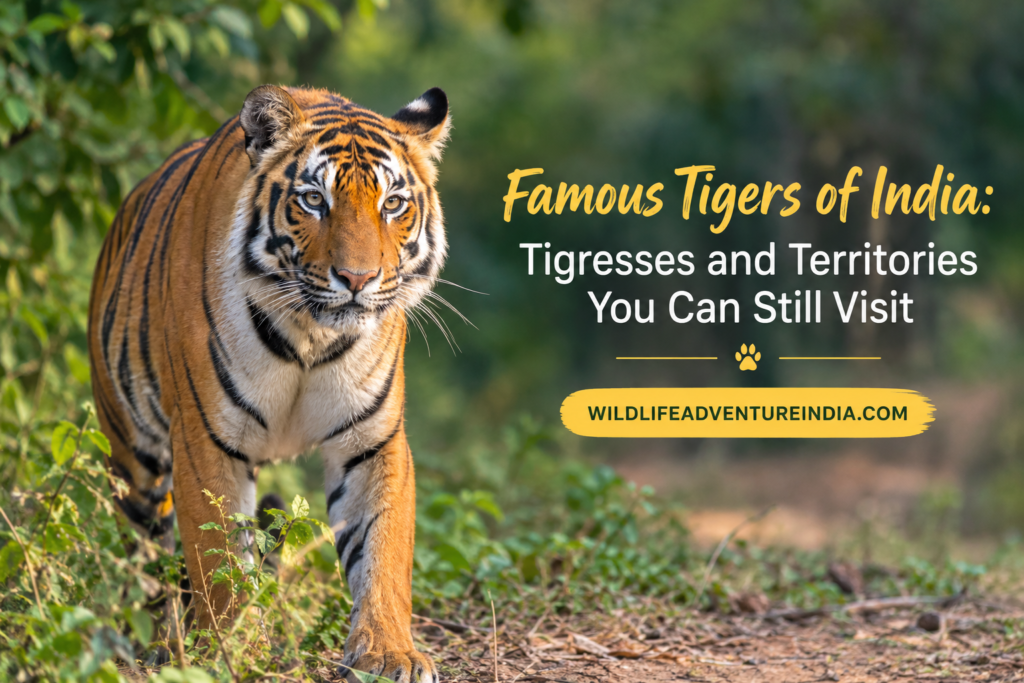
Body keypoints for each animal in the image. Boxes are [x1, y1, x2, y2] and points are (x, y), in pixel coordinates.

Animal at [87, 84, 450, 682]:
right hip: (133, 459)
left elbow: (384, 549)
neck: (310, 336)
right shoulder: (207, 439)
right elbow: (220, 559)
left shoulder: (372, 440)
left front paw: (389, 652)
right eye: (314, 200)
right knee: (146, 561)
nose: (357, 279)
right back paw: (158, 645)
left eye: (393, 204)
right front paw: (235, 651)